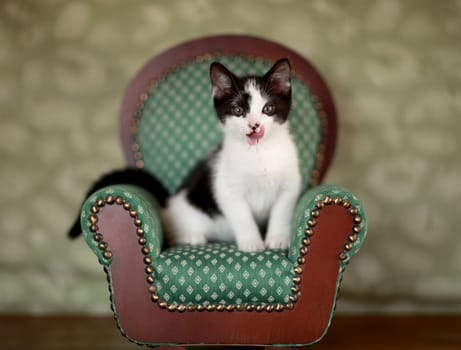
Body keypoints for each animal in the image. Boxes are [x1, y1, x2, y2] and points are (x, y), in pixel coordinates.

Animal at [164, 59, 300, 252]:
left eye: (268, 108)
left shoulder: (290, 186)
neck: (259, 152)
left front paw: (278, 238)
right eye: (238, 110)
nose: (254, 125)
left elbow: (282, 211)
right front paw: (252, 242)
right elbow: (242, 217)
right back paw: (192, 237)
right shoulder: (227, 189)